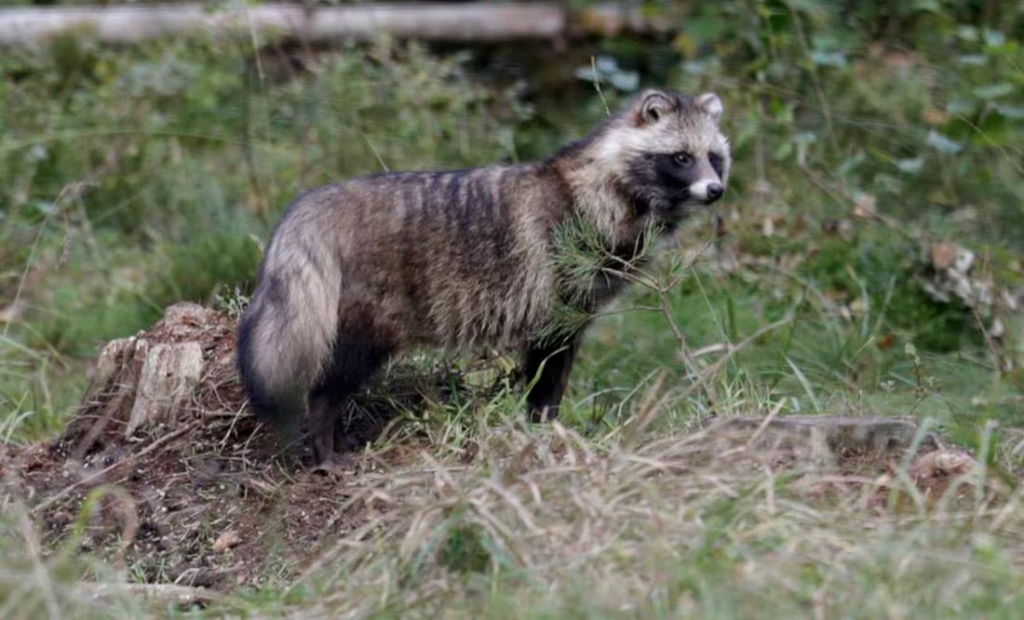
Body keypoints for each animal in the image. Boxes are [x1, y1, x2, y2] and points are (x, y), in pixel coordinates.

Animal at [235, 87, 733, 463]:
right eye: (681, 157)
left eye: (714, 157)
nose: (716, 191)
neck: (609, 185)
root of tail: (311, 207)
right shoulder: (556, 292)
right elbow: (546, 372)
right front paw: (541, 427)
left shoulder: (580, 306)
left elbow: (557, 369)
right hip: (367, 312)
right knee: (330, 381)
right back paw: (324, 442)